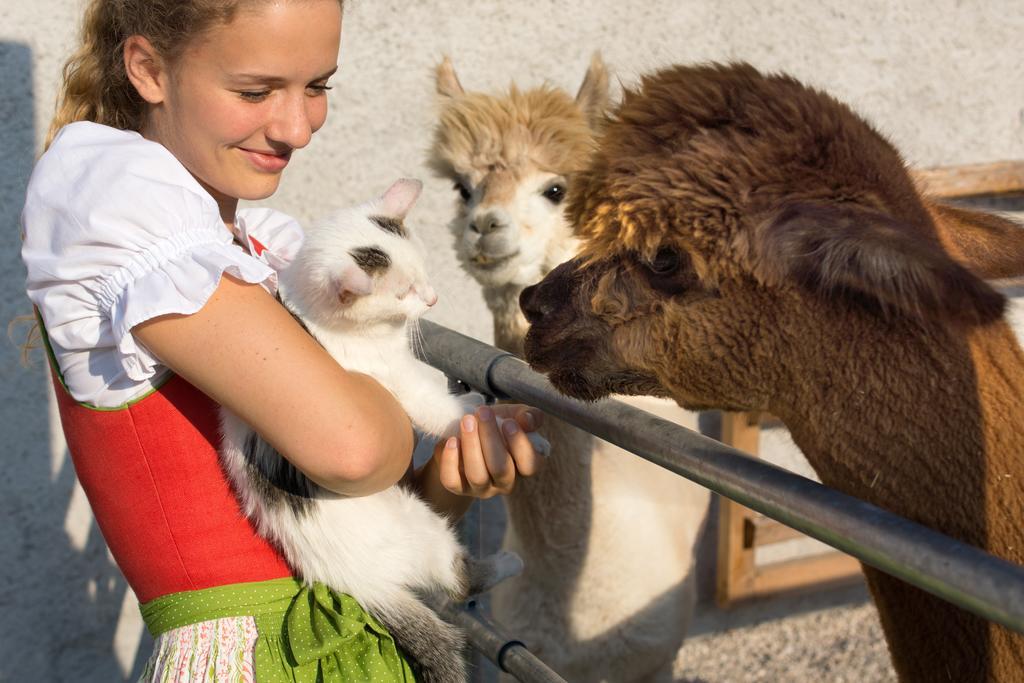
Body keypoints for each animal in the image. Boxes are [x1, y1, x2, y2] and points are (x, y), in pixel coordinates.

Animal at [220, 179, 532, 679]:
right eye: (403, 293)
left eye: (424, 273)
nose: (432, 299)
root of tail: (360, 586)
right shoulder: (392, 379)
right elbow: (435, 407)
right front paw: (493, 419)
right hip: (416, 525)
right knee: (458, 581)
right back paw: (505, 562)